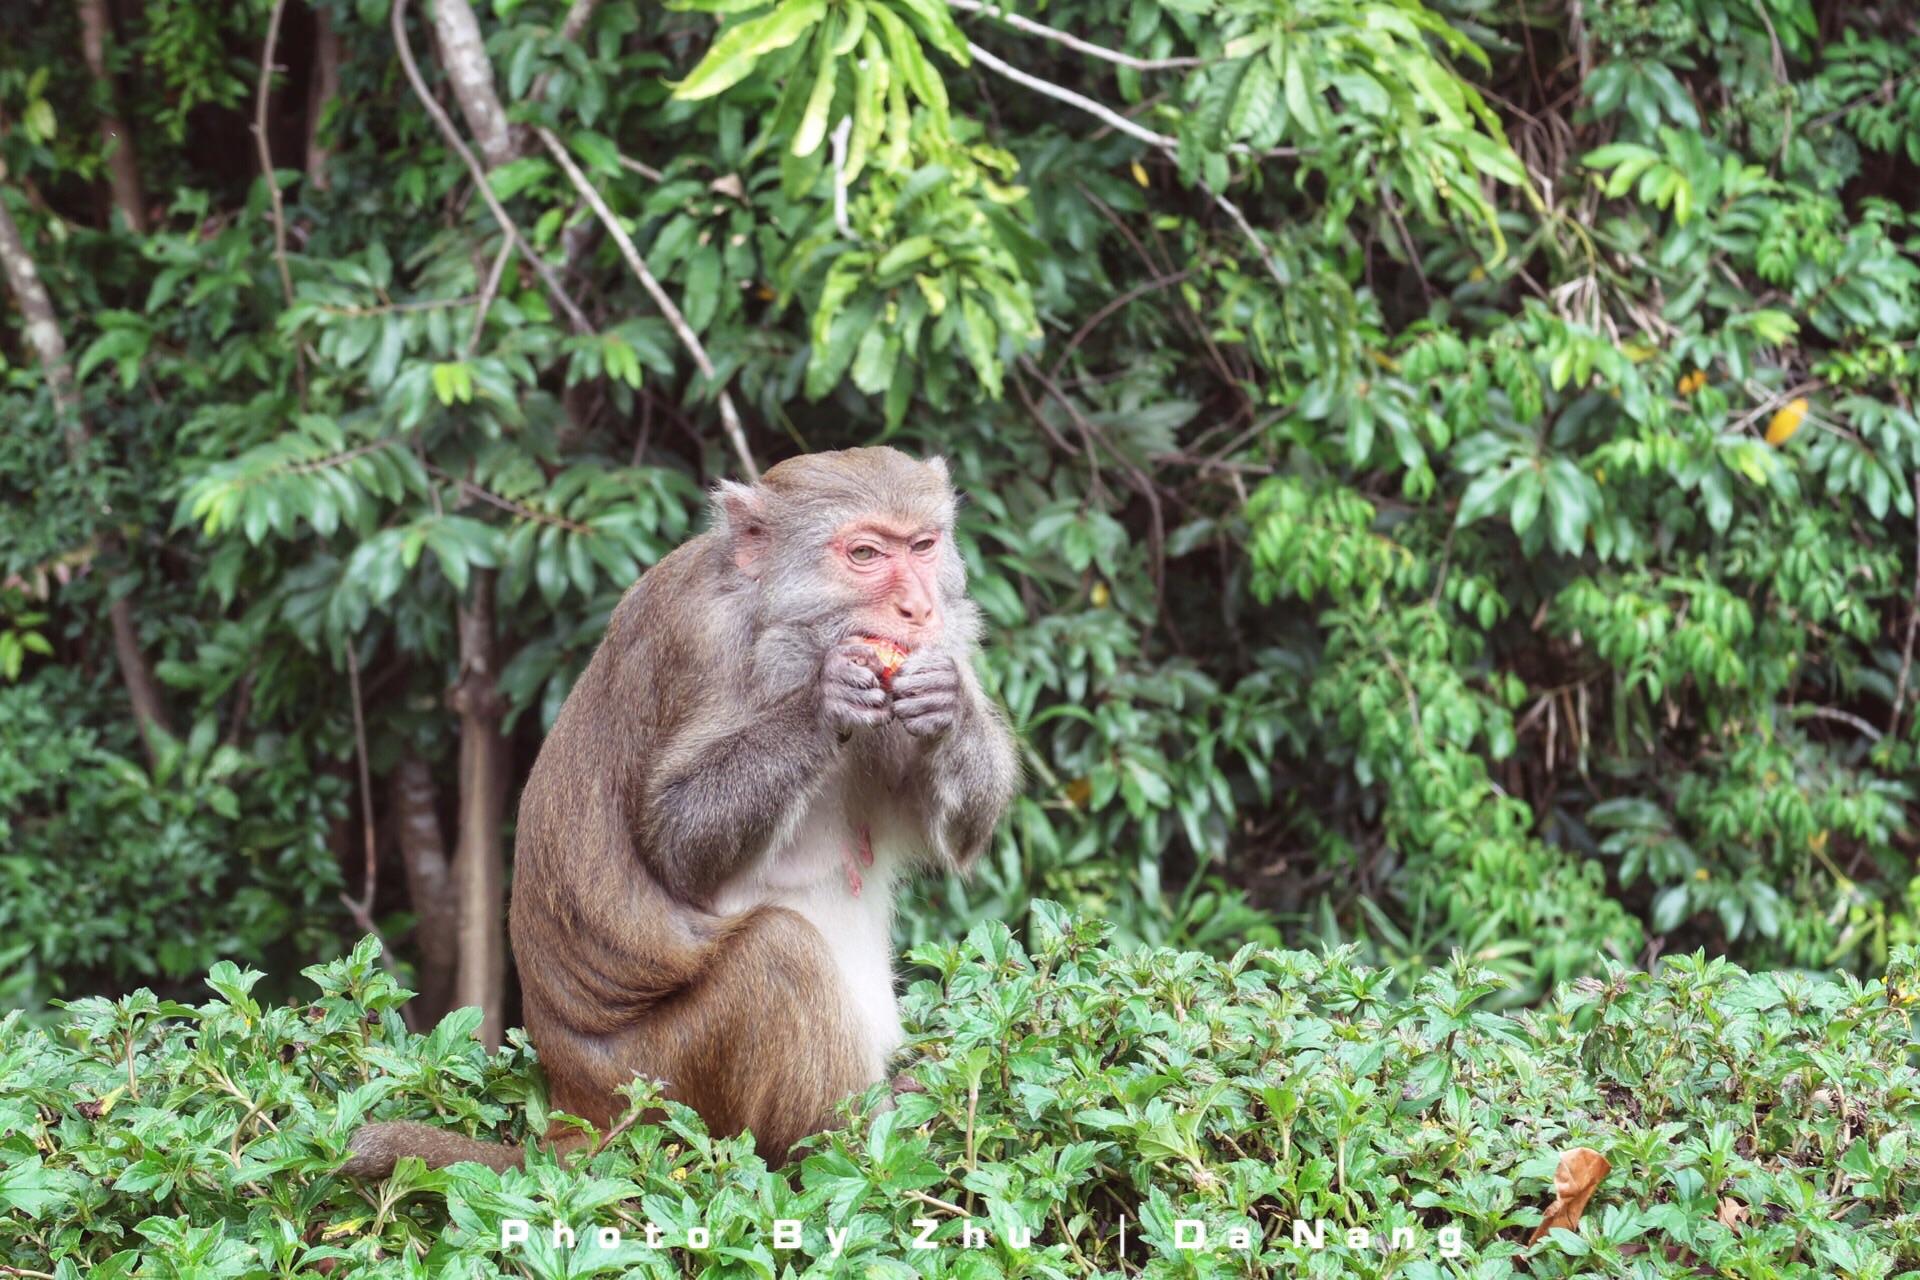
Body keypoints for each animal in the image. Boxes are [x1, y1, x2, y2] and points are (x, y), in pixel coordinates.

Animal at [351, 445, 1029, 1174]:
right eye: (867, 554)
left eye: (925, 546)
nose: (918, 607)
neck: (778, 626)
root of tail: (572, 1105)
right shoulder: (697, 642)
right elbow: (676, 845)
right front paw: (825, 703)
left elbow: (960, 835)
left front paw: (946, 701)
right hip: (661, 1084)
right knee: (778, 951)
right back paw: (848, 1144)